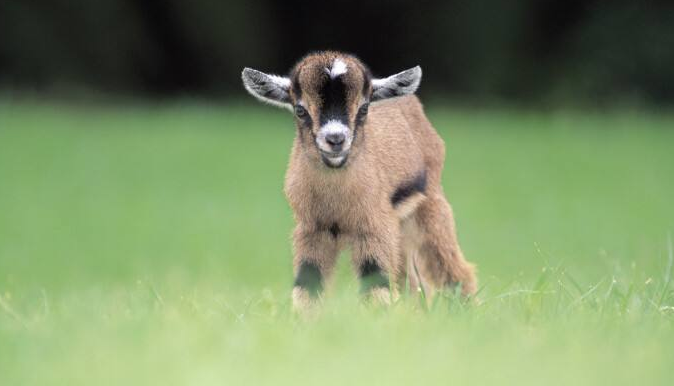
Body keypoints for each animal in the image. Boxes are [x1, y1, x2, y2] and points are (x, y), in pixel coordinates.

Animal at [240, 52, 472, 310]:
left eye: (364, 108)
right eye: (300, 110)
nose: (335, 139)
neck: (336, 201)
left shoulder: (374, 227)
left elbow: (376, 283)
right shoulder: (312, 230)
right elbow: (307, 283)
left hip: (429, 207)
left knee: (455, 270)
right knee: (411, 281)